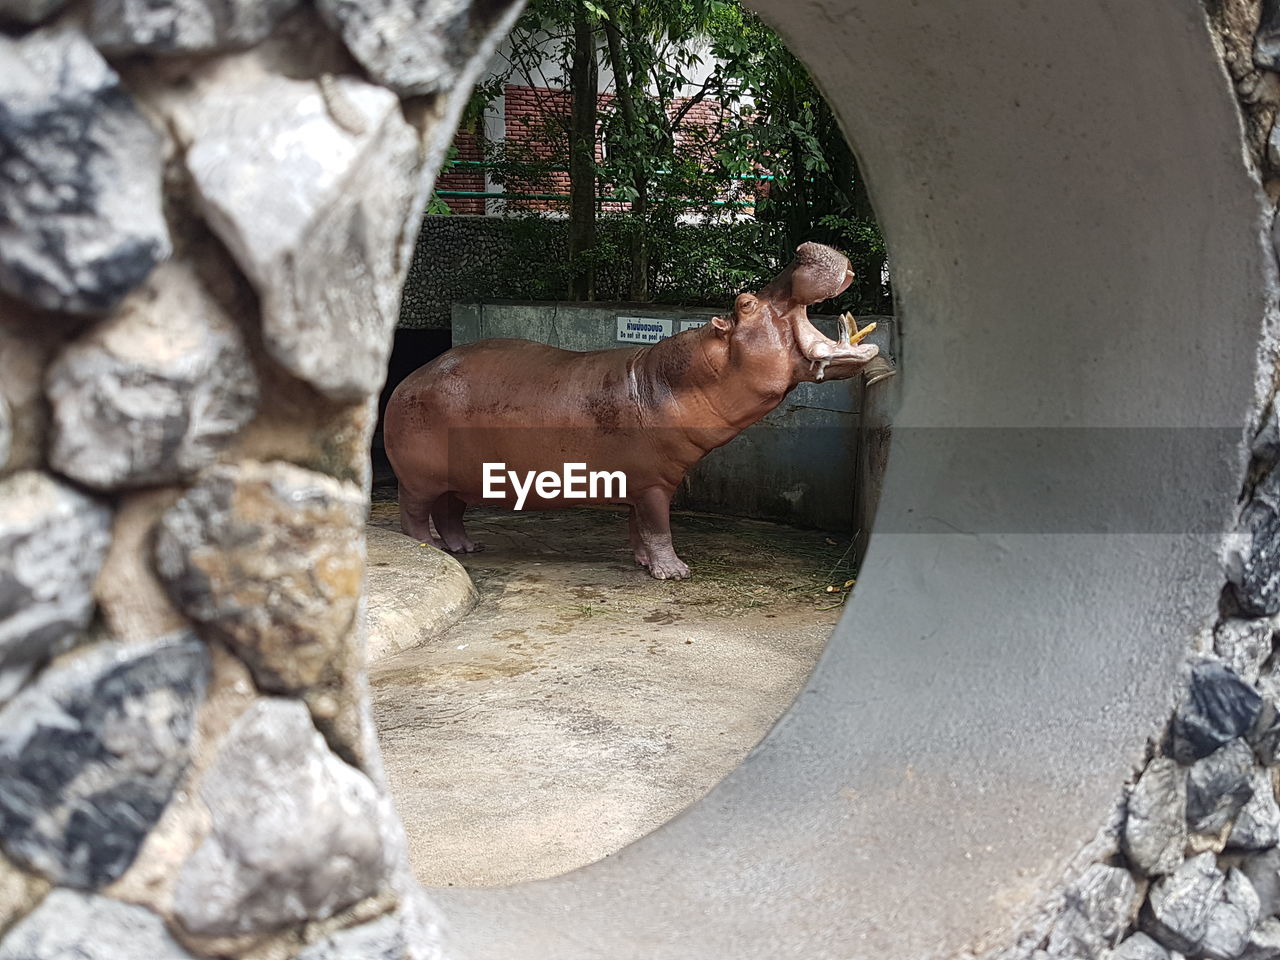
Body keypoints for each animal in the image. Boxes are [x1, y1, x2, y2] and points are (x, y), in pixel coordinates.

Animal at [378, 244, 880, 583]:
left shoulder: (643, 481)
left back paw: (464, 548)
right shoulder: (654, 483)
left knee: (451, 511)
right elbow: (659, 527)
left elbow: (641, 526)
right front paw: (675, 572)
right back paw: (431, 550)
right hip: (419, 478)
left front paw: (644, 563)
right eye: (745, 302)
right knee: (414, 514)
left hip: (459, 477)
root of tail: (408, 378)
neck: (672, 380)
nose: (802, 250)